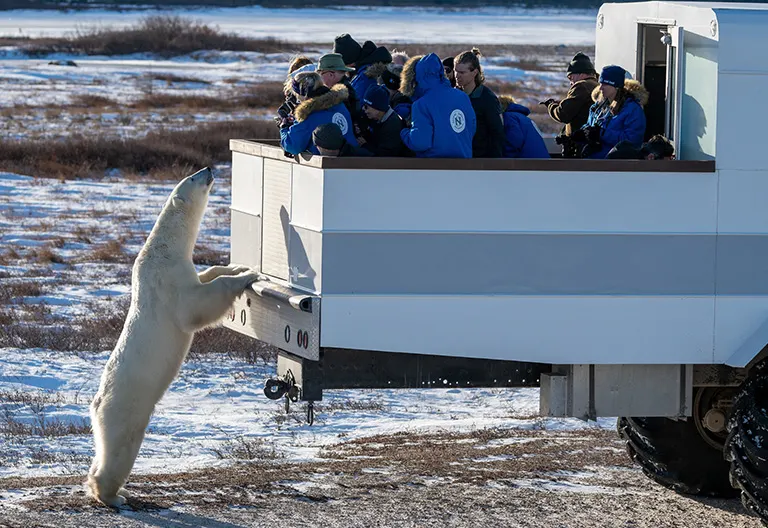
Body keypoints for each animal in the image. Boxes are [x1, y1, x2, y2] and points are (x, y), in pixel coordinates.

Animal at [85, 167, 260, 507]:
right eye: (192, 178)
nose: (210, 168)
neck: (162, 249)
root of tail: (97, 404)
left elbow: (207, 275)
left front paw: (236, 265)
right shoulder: (168, 281)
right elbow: (195, 305)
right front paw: (248, 274)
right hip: (127, 411)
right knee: (120, 450)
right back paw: (113, 495)